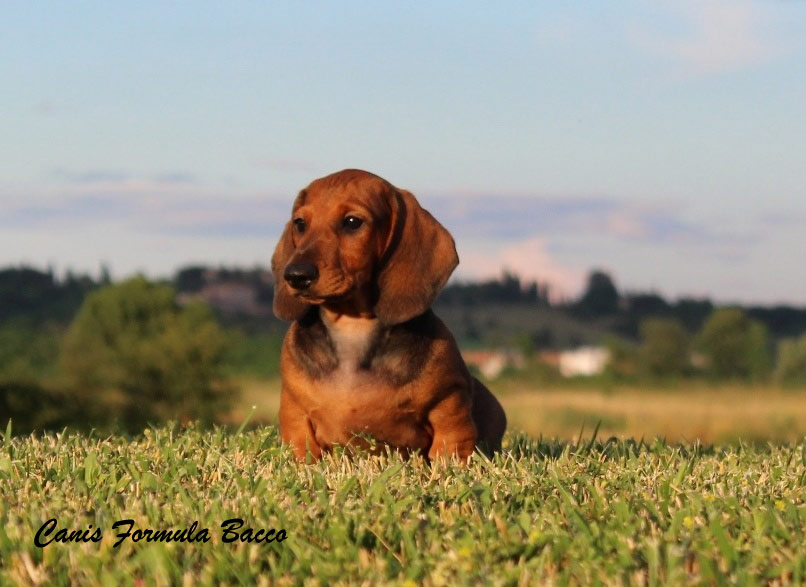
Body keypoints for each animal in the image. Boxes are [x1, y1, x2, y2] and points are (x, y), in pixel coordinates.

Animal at [274, 168, 508, 462]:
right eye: (300, 223)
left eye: (352, 222)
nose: (295, 275)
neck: (352, 327)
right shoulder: (294, 410)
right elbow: (301, 446)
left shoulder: (450, 403)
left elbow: (450, 447)